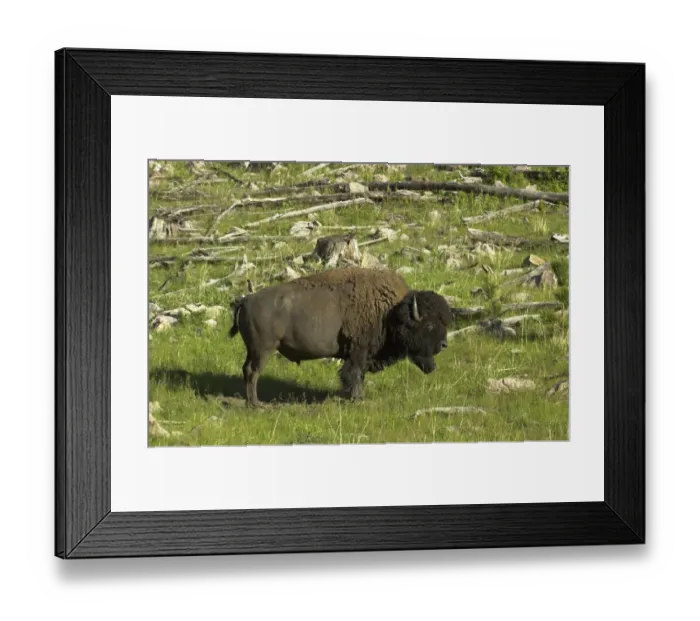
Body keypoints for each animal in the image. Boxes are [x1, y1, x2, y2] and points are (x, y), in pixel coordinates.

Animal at [229, 267, 453, 407]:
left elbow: (358, 375)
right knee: (253, 372)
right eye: (429, 324)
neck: (390, 311)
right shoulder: (358, 350)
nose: (444, 344)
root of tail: (246, 300)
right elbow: (354, 374)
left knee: (247, 370)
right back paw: (257, 404)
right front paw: (358, 398)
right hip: (263, 350)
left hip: (254, 350)